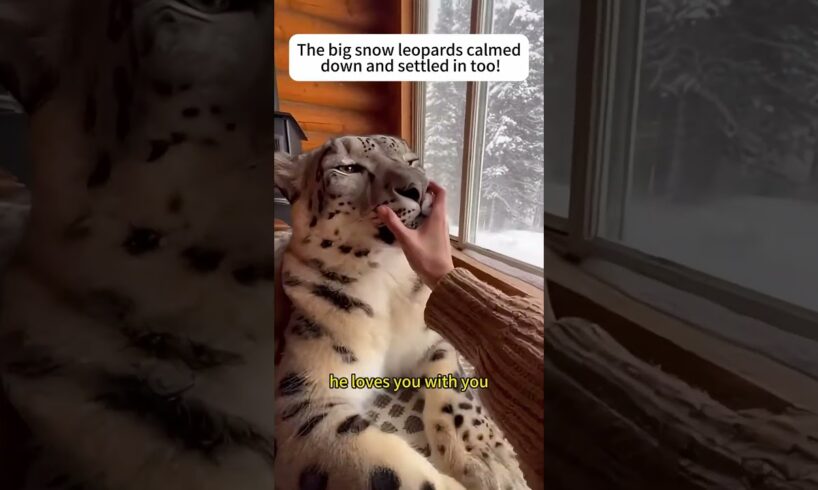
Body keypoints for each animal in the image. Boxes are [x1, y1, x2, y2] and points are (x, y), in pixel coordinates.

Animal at [273, 135, 530, 490]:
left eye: (411, 160)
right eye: (347, 168)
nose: (418, 188)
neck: (385, 276)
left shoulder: (435, 341)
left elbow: (456, 394)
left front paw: (484, 457)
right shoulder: (303, 397)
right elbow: (386, 467)